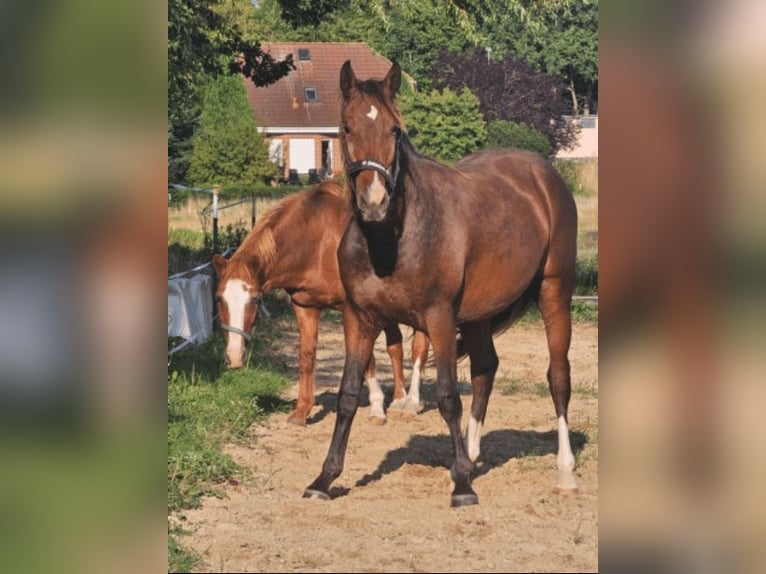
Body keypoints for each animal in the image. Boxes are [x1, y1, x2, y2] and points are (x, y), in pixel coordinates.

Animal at [211, 181, 430, 425]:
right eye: (219, 298)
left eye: (255, 299)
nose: (234, 357)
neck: (317, 242)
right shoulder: (305, 307)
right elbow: (307, 356)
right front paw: (301, 411)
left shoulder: (352, 310)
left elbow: (368, 359)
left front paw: (376, 409)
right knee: (395, 346)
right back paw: (398, 400)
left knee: (420, 348)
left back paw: (410, 405)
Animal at [303, 61, 579, 507]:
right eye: (346, 128)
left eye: (395, 130)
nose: (374, 202)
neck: (391, 239)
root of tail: (543, 174)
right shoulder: (358, 319)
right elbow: (347, 396)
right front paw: (324, 478)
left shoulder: (440, 318)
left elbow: (448, 396)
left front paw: (463, 487)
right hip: (480, 315)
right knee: (485, 369)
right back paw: (469, 455)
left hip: (555, 293)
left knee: (558, 376)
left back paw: (565, 472)